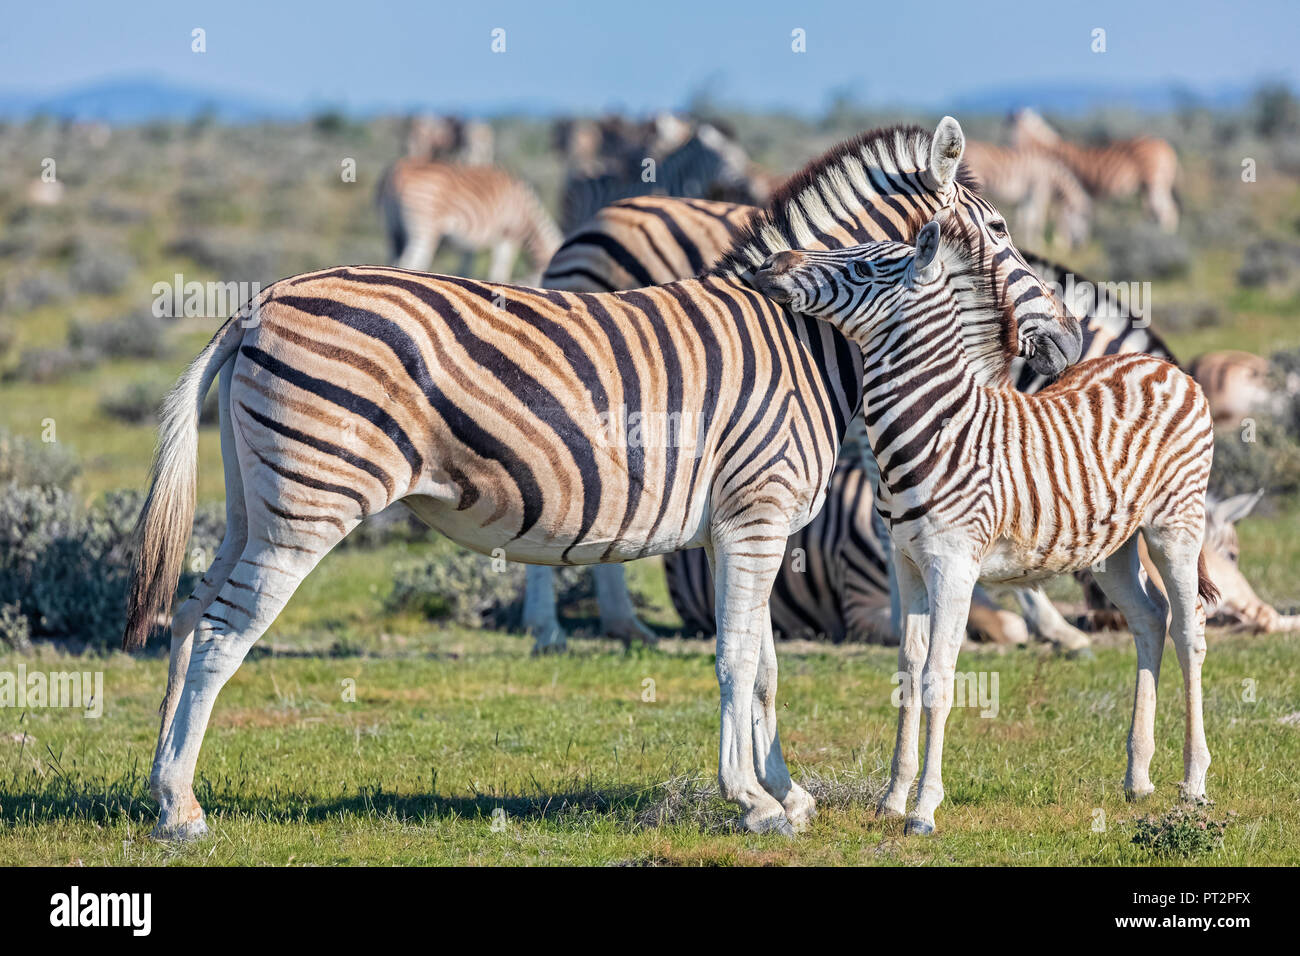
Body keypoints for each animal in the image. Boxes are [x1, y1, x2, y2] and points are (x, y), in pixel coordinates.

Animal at [124, 115, 1076, 842]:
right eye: (1001, 231)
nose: (1066, 343)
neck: (809, 337)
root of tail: (257, 306)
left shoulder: (741, 527)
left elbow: (764, 662)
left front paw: (788, 791)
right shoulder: (759, 515)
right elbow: (737, 657)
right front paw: (753, 802)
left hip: (254, 503)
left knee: (190, 617)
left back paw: (160, 793)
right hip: (309, 504)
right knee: (222, 635)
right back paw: (185, 813)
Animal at [754, 223, 1216, 837]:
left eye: (864, 267)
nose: (771, 262)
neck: (931, 430)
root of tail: (1161, 365)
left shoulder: (955, 565)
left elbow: (937, 678)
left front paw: (924, 809)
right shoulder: (907, 563)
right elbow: (907, 671)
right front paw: (892, 798)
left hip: (1174, 526)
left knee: (1190, 631)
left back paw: (1193, 783)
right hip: (1110, 547)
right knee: (1150, 617)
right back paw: (1138, 778)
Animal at [961, 140, 1092, 251]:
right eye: (1084, 218)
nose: (1080, 246)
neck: (1052, 174)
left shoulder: (1027, 195)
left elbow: (1025, 217)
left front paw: (1022, 242)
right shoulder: (1040, 190)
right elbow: (1037, 218)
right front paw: (1038, 244)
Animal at [1008, 108, 1185, 234]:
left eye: (1013, 123)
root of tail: (1165, 146)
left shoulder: (1062, 191)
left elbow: (1058, 220)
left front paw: (1060, 245)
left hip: (1155, 183)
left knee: (1168, 211)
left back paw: (1164, 235)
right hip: (1147, 187)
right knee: (1157, 211)